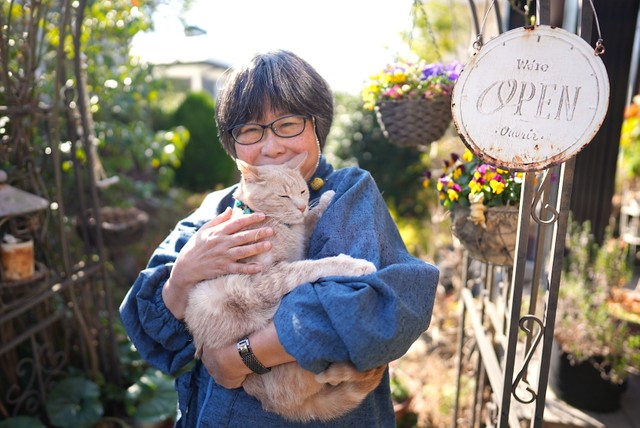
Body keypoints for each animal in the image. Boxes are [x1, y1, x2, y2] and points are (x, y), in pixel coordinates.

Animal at [185, 153, 384, 422]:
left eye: (302, 191)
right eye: (283, 196)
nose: (300, 205)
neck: (276, 224)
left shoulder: (299, 240)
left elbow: (309, 222)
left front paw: (326, 198)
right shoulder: (266, 277)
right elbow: (310, 267)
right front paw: (353, 264)